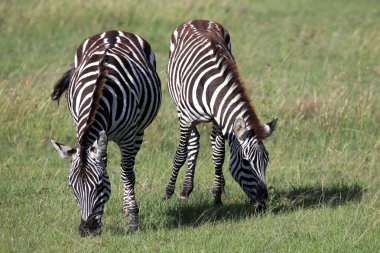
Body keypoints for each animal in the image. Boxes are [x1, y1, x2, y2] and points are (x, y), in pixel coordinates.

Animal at [50, 31, 160, 235]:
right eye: (72, 187)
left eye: (100, 186)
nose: (86, 230)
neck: (99, 92)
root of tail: (113, 32)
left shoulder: (128, 136)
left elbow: (126, 173)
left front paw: (133, 220)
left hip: (139, 132)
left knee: (128, 169)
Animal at [165, 19, 278, 210]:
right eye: (246, 162)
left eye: (267, 160)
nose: (263, 203)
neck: (212, 88)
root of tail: (198, 20)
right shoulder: (186, 120)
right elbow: (180, 154)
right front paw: (168, 191)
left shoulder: (219, 120)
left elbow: (218, 155)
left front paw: (217, 195)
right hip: (180, 109)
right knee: (193, 142)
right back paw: (185, 190)